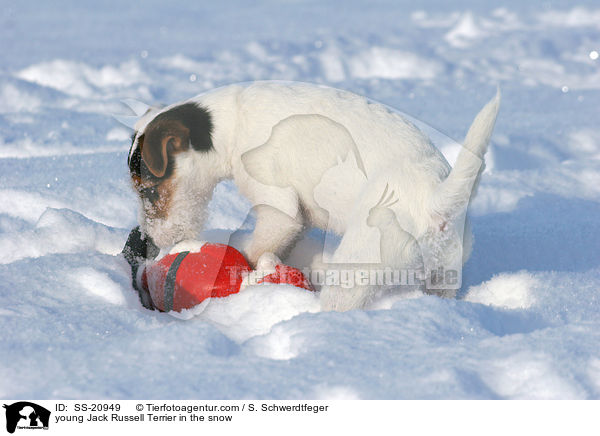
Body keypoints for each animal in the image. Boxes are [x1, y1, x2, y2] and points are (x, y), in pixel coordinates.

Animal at [127, 82, 502, 312]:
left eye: (150, 191)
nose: (149, 242)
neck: (228, 127)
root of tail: (436, 202)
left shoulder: (280, 209)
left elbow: (258, 248)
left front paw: (252, 274)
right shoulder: (299, 221)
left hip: (358, 269)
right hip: (443, 275)